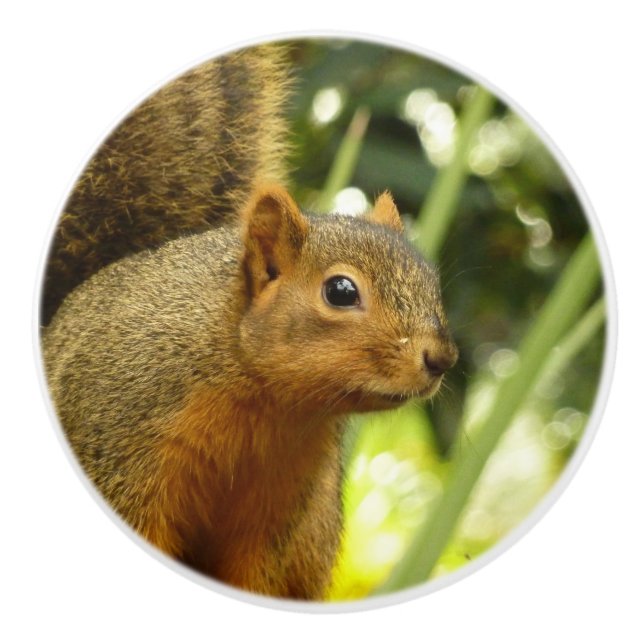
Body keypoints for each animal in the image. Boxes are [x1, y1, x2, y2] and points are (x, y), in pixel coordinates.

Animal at [40, 43, 458, 600]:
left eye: (431, 279)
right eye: (341, 291)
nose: (441, 358)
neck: (267, 406)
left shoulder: (280, 509)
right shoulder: (121, 447)